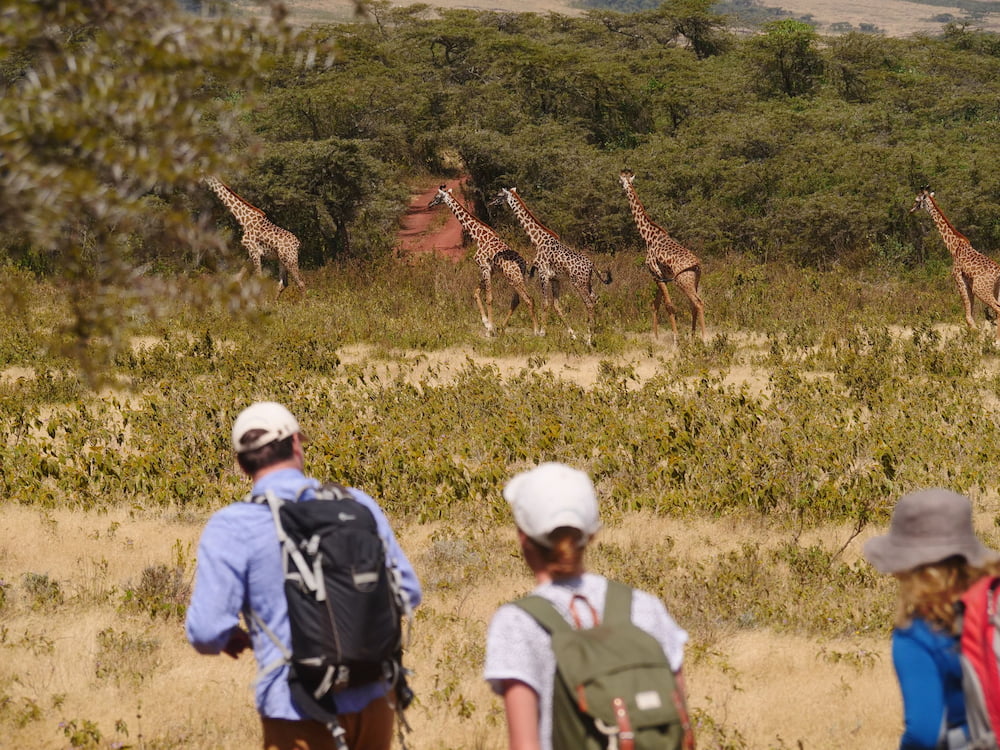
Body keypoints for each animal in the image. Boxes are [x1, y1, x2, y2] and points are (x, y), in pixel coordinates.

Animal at [428, 185, 541, 336]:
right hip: (515, 278)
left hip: (513, 277)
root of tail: (524, 264)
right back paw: (506, 328)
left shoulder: (484, 266)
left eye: (437, 196)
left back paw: (536, 331)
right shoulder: (489, 270)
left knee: (529, 299)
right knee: (518, 300)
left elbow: (489, 298)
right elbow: (476, 293)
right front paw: (487, 323)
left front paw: (490, 329)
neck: (478, 236)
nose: (429, 204)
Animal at [492, 187, 612, 346]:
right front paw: (572, 335)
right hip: (588, 283)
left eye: (499, 195)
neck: (538, 240)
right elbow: (557, 306)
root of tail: (592, 265)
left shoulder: (543, 274)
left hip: (578, 283)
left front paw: (542, 333)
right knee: (596, 299)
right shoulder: (555, 279)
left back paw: (588, 339)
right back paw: (596, 332)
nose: (492, 202)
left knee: (589, 304)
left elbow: (545, 303)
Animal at [619, 170, 705, 342]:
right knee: (693, 305)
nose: (622, 188)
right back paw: (693, 337)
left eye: (621, 182)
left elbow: (668, 305)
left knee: (698, 303)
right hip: (694, 281)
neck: (648, 237)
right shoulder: (662, 276)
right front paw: (656, 337)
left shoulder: (655, 273)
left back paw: (705, 338)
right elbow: (656, 304)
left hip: (683, 281)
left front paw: (675, 339)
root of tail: (697, 265)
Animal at [910, 187, 1000, 340]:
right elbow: (970, 315)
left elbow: (968, 317)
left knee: (998, 309)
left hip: (981, 289)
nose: (911, 210)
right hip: (996, 290)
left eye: (917, 200)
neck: (953, 247)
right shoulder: (967, 282)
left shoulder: (959, 279)